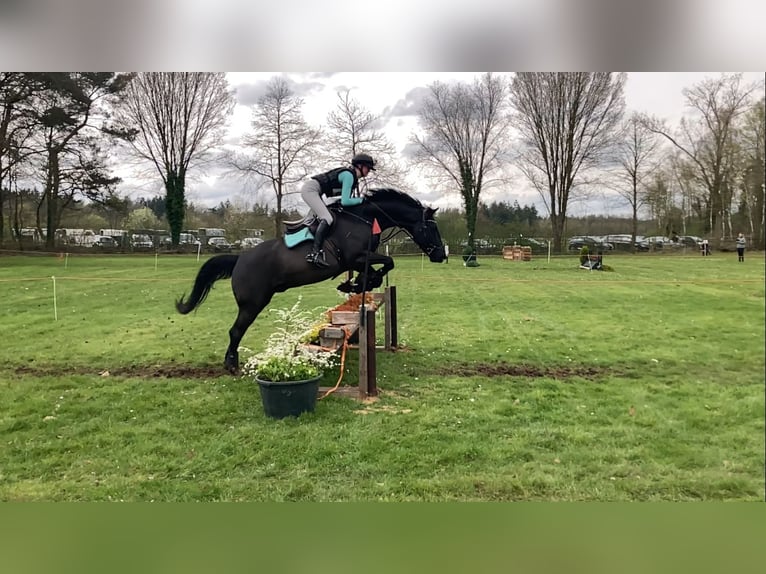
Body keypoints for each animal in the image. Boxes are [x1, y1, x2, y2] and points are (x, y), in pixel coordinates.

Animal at [176, 189, 448, 374]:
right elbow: (388, 261)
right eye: (432, 229)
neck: (365, 217)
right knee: (235, 331)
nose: (440, 255)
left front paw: (356, 284)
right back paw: (231, 364)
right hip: (253, 303)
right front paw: (359, 283)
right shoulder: (356, 257)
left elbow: (379, 268)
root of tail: (240, 258)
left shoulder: (358, 260)